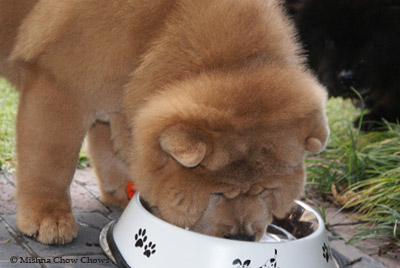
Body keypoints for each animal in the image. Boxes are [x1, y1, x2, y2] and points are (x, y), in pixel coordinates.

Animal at [0, 0, 328, 244]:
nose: (242, 237)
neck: (159, 32)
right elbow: (51, 162)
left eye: (264, 191)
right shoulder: (60, 86)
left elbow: (108, 147)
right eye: (217, 193)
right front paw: (49, 218)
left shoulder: (119, 96)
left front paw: (122, 191)